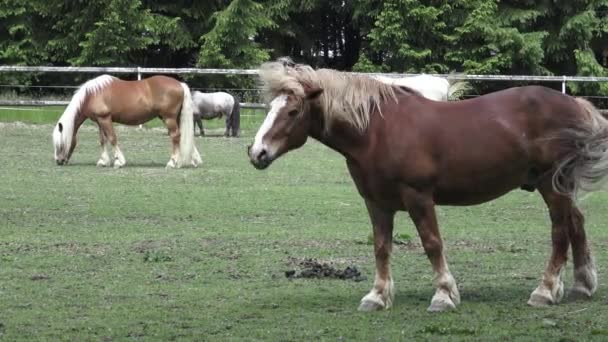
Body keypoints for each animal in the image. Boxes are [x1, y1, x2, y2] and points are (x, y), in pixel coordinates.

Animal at [52, 74, 200, 168]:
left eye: (60, 144)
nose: (59, 161)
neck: (92, 95)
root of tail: (180, 84)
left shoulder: (105, 119)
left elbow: (112, 138)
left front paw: (119, 162)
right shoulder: (100, 121)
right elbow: (103, 140)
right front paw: (103, 161)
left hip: (169, 118)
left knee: (175, 136)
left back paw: (172, 162)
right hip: (176, 118)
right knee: (183, 136)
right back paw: (192, 160)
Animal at [247, 59, 608, 312]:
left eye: (293, 111)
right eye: (270, 108)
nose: (257, 152)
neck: (376, 131)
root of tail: (576, 104)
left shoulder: (418, 197)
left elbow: (432, 243)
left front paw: (444, 295)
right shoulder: (376, 202)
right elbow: (381, 247)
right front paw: (377, 297)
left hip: (551, 185)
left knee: (560, 231)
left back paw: (545, 291)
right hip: (560, 185)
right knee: (576, 224)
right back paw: (582, 285)